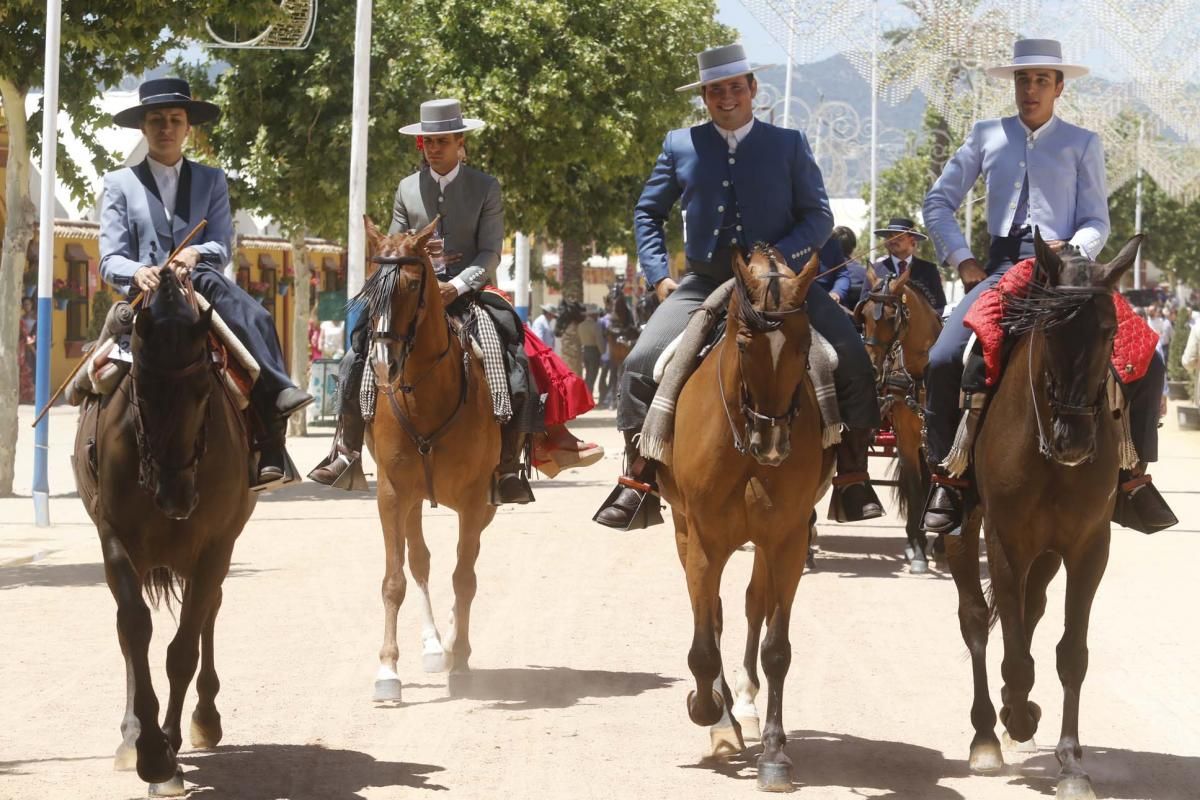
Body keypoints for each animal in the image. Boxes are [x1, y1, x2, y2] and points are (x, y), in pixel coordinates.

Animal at [72, 267, 255, 796]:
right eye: (142, 392)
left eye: (203, 393)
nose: (176, 498)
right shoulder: (115, 541)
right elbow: (134, 628)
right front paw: (149, 748)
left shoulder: (215, 547)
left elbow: (182, 650)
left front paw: (167, 751)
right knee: (129, 629)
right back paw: (131, 735)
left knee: (208, 612)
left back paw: (205, 718)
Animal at [352, 219, 499, 700]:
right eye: (369, 284)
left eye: (413, 284)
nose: (383, 363)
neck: (426, 395)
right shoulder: (392, 494)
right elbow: (394, 579)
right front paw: (387, 670)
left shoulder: (474, 500)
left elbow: (465, 578)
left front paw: (462, 659)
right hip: (414, 499)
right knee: (419, 560)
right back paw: (435, 644)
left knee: (462, 566)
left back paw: (450, 643)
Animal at [657, 245, 835, 796]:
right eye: (743, 343)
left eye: (804, 344)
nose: (773, 444)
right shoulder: (704, 540)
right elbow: (702, 644)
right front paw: (710, 714)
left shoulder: (788, 540)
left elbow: (777, 647)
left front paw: (774, 754)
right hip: (685, 531)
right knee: (712, 614)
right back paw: (725, 715)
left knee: (755, 603)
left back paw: (748, 703)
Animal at [859, 272, 940, 573]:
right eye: (865, 314)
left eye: (892, 316)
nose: (870, 367)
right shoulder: (906, 437)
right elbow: (916, 488)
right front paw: (918, 551)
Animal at [940, 232, 1137, 800]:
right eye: (1050, 330)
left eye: (1109, 331)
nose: (1074, 441)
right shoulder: (1007, 541)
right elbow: (1010, 646)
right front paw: (1015, 716)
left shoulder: (1089, 547)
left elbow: (1070, 653)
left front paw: (1071, 762)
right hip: (965, 533)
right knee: (977, 619)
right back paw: (989, 732)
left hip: (1049, 552)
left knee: (1031, 612)